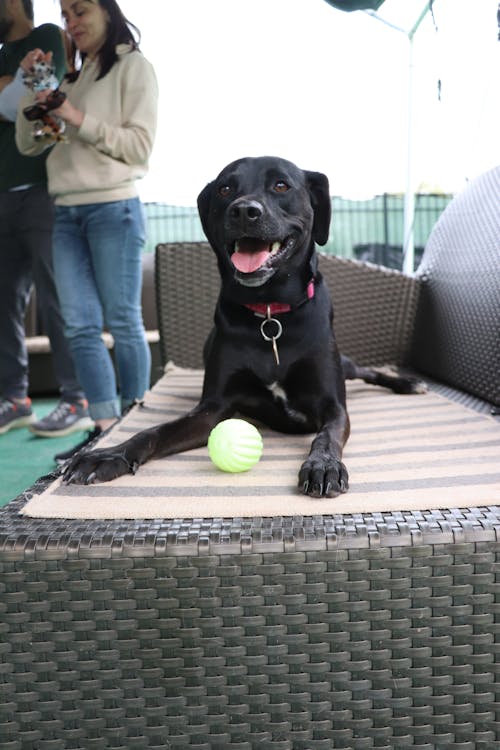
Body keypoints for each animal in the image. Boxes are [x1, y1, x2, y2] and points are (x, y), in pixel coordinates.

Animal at [63, 157, 422, 500]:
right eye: (225, 189)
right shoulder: (212, 409)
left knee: (368, 372)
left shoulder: (333, 407)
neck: (269, 314)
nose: (244, 211)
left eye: (281, 185)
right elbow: (155, 430)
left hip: (345, 365)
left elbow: (326, 436)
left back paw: (408, 382)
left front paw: (323, 465)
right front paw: (109, 454)